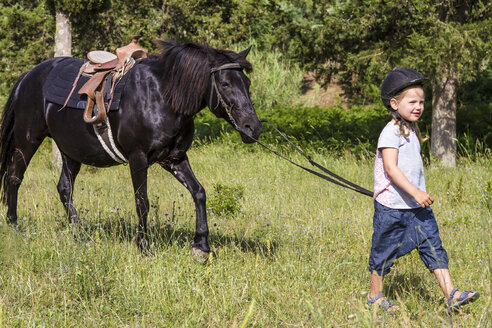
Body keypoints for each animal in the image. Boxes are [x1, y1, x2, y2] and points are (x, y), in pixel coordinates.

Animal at [0, 39, 262, 258]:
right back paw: (14, 225)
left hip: (71, 151)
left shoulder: (175, 158)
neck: (161, 97)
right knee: (14, 177)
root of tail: (27, 76)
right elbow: (142, 202)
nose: (254, 127)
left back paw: (79, 234)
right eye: (225, 83)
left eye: (247, 83)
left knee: (64, 188)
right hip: (28, 139)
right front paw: (144, 246)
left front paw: (202, 246)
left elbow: (199, 192)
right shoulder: (138, 159)